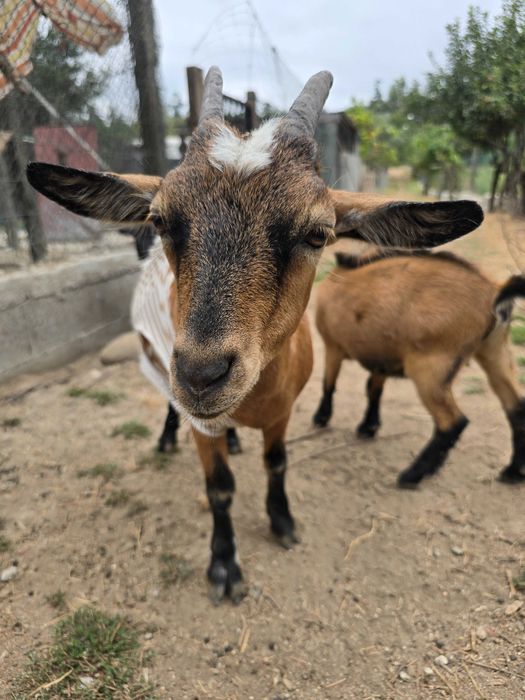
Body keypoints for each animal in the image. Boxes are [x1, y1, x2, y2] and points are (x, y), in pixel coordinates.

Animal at [26, 67, 483, 603]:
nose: (202, 375)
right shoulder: (201, 423)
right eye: (159, 220)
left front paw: (283, 522)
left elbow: (278, 463)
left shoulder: (282, 412)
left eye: (319, 233)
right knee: (168, 401)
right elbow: (219, 487)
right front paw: (225, 567)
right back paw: (167, 437)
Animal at [313, 248, 525, 487]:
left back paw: (413, 474)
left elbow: (329, 383)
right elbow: (373, 389)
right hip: (494, 351)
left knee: (452, 421)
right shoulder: (381, 358)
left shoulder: (332, 345)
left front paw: (321, 418)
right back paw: (513, 472)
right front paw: (369, 426)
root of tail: (495, 290)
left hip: (429, 367)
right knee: (517, 407)